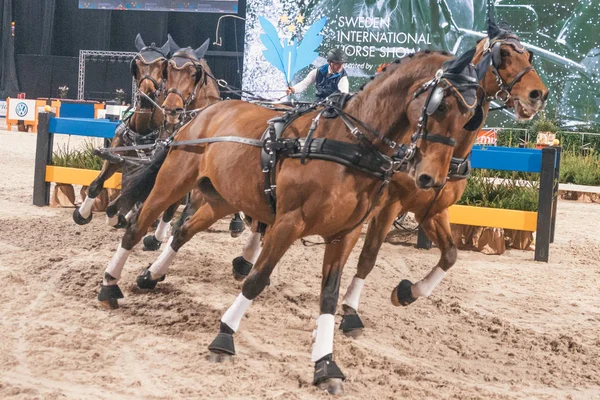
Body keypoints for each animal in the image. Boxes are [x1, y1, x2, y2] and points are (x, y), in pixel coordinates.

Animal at [74, 34, 171, 227]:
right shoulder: (115, 158)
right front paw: (82, 214)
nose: (146, 97)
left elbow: (125, 199)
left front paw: (117, 218)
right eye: (137, 64)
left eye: (162, 65)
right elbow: (96, 185)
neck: (143, 132)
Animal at [98, 47, 482, 394]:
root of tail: (203, 113)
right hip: (173, 181)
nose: (432, 178)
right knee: (137, 228)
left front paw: (325, 364)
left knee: (183, 231)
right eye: (441, 106)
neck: (351, 144)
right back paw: (109, 285)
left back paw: (151, 274)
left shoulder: (345, 233)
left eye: (470, 117)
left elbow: (329, 295)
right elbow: (256, 279)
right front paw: (224, 336)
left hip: (221, 198)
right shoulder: (288, 222)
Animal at [336, 21, 552, 334]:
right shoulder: (389, 205)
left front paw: (407, 292)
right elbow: (368, 257)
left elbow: (450, 255)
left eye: (529, 55)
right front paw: (350, 310)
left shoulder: (433, 210)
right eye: (504, 55)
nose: (539, 94)